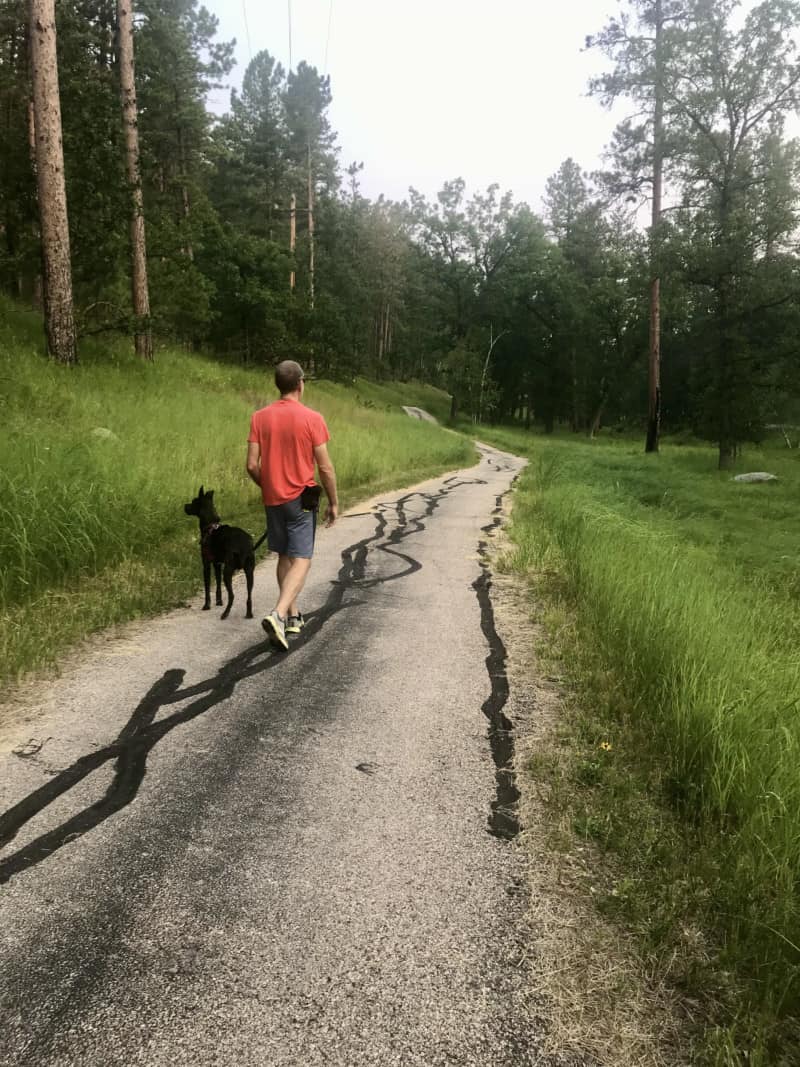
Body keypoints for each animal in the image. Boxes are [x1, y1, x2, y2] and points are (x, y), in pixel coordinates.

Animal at [184, 488, 253, 623]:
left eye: (193, 502)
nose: (185, 506)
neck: (210, 526)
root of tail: (243, 545)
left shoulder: (206, 565)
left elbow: (207, 588)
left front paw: (206, 606)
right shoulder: (217, 564)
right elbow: (218, 585)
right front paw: (219, 601)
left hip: (228, 571)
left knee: (232, 595)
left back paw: (225, 614)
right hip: (249, 571)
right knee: (249, 595)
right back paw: (249, 613)